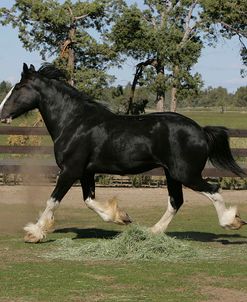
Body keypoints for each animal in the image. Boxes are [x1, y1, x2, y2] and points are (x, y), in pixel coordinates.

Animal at [0, 64, 245, 243]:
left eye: (19, 87)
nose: (1, 113)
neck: (74, 122)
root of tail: (201, 131)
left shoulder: (70, 171)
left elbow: (53, 200)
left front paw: (34, 232)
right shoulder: (86, 172)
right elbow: (89, 201)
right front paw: (121, 217)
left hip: (186, 174)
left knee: (213, 190)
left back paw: (230, 221)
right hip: (172, 174)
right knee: (176, 201)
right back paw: (152, 231)